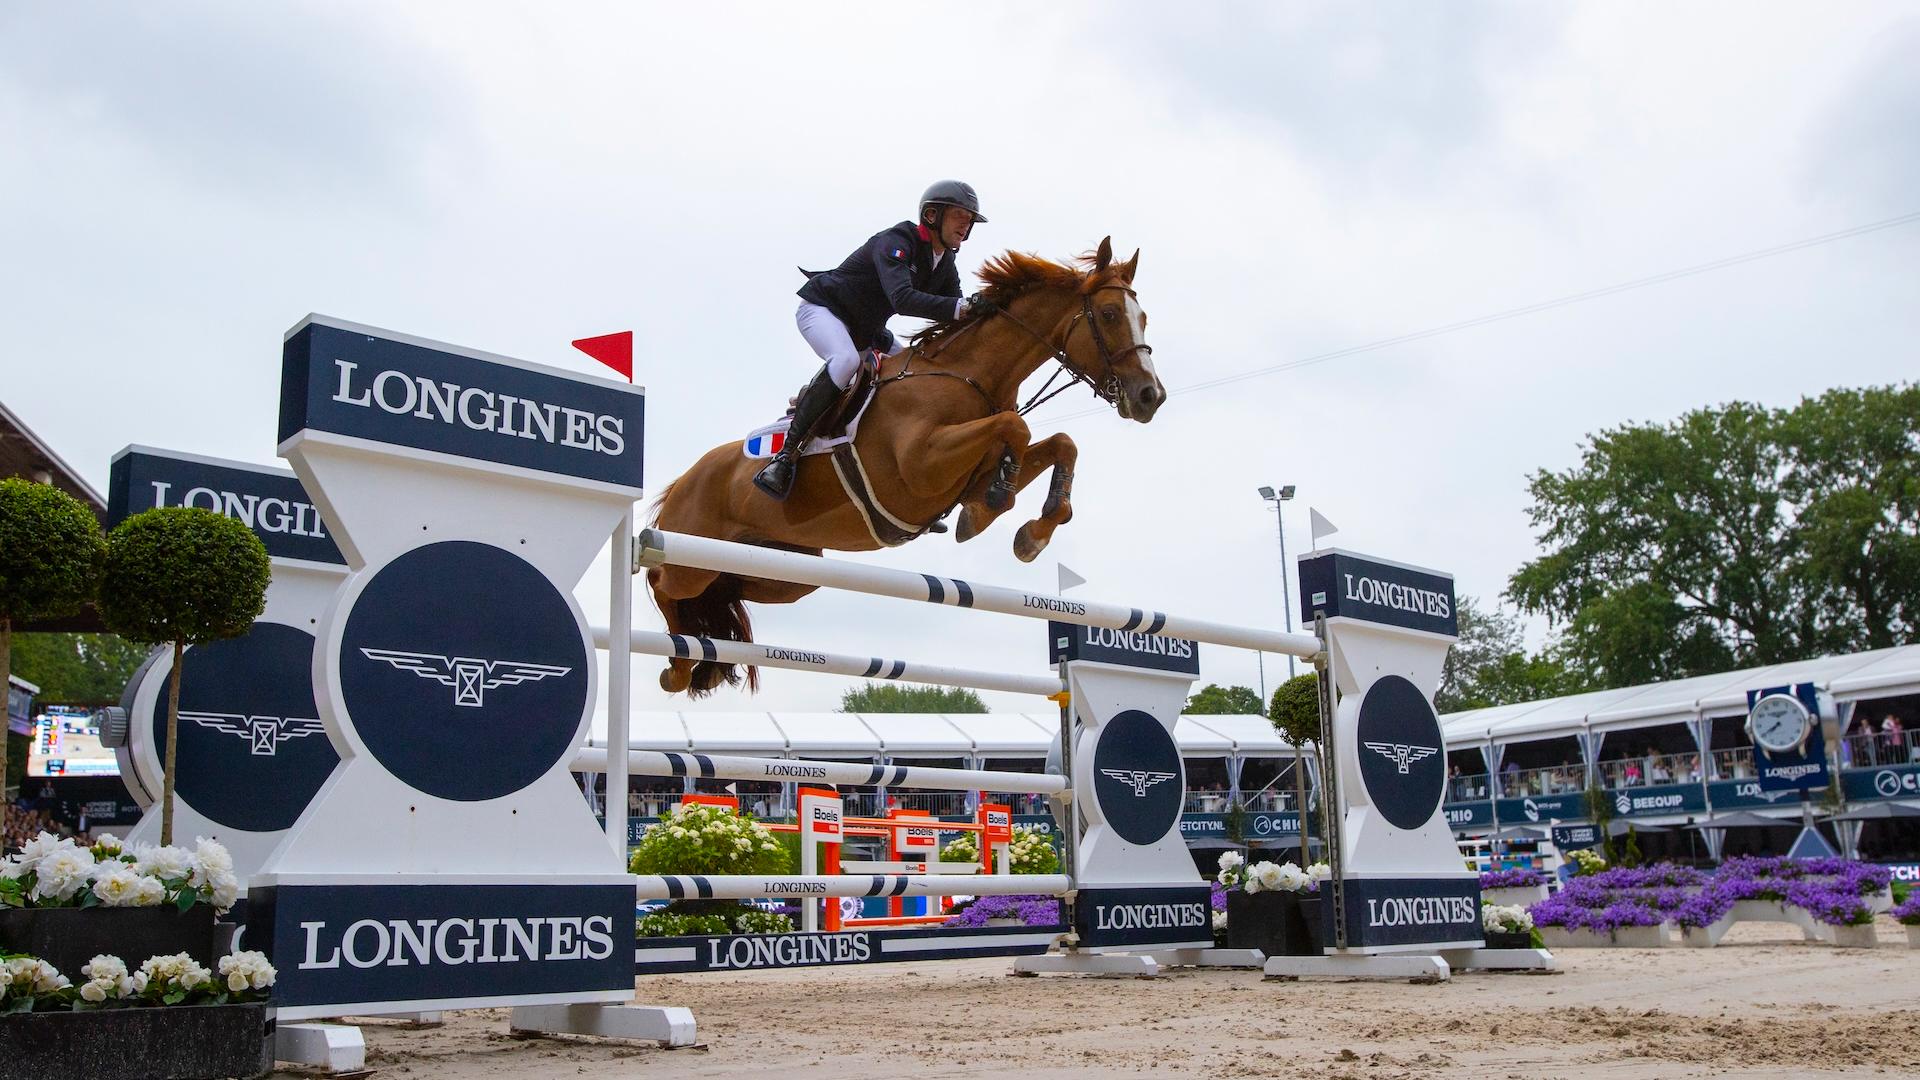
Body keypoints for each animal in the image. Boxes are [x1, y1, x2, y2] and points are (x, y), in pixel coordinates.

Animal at [645, 233, 1159, 687]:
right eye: (1109, 314)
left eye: (1145, 318)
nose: (1151, 397)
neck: (971, 375)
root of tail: (684, 480)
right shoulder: (921, 466)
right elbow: (1016, 427)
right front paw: (995, 508)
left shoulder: (965, 473)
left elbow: (1060, 442)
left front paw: (1030, 531)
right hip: (692, 557)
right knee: (659, 576)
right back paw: (677, 667)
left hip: (782, 573)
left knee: (722, 591)